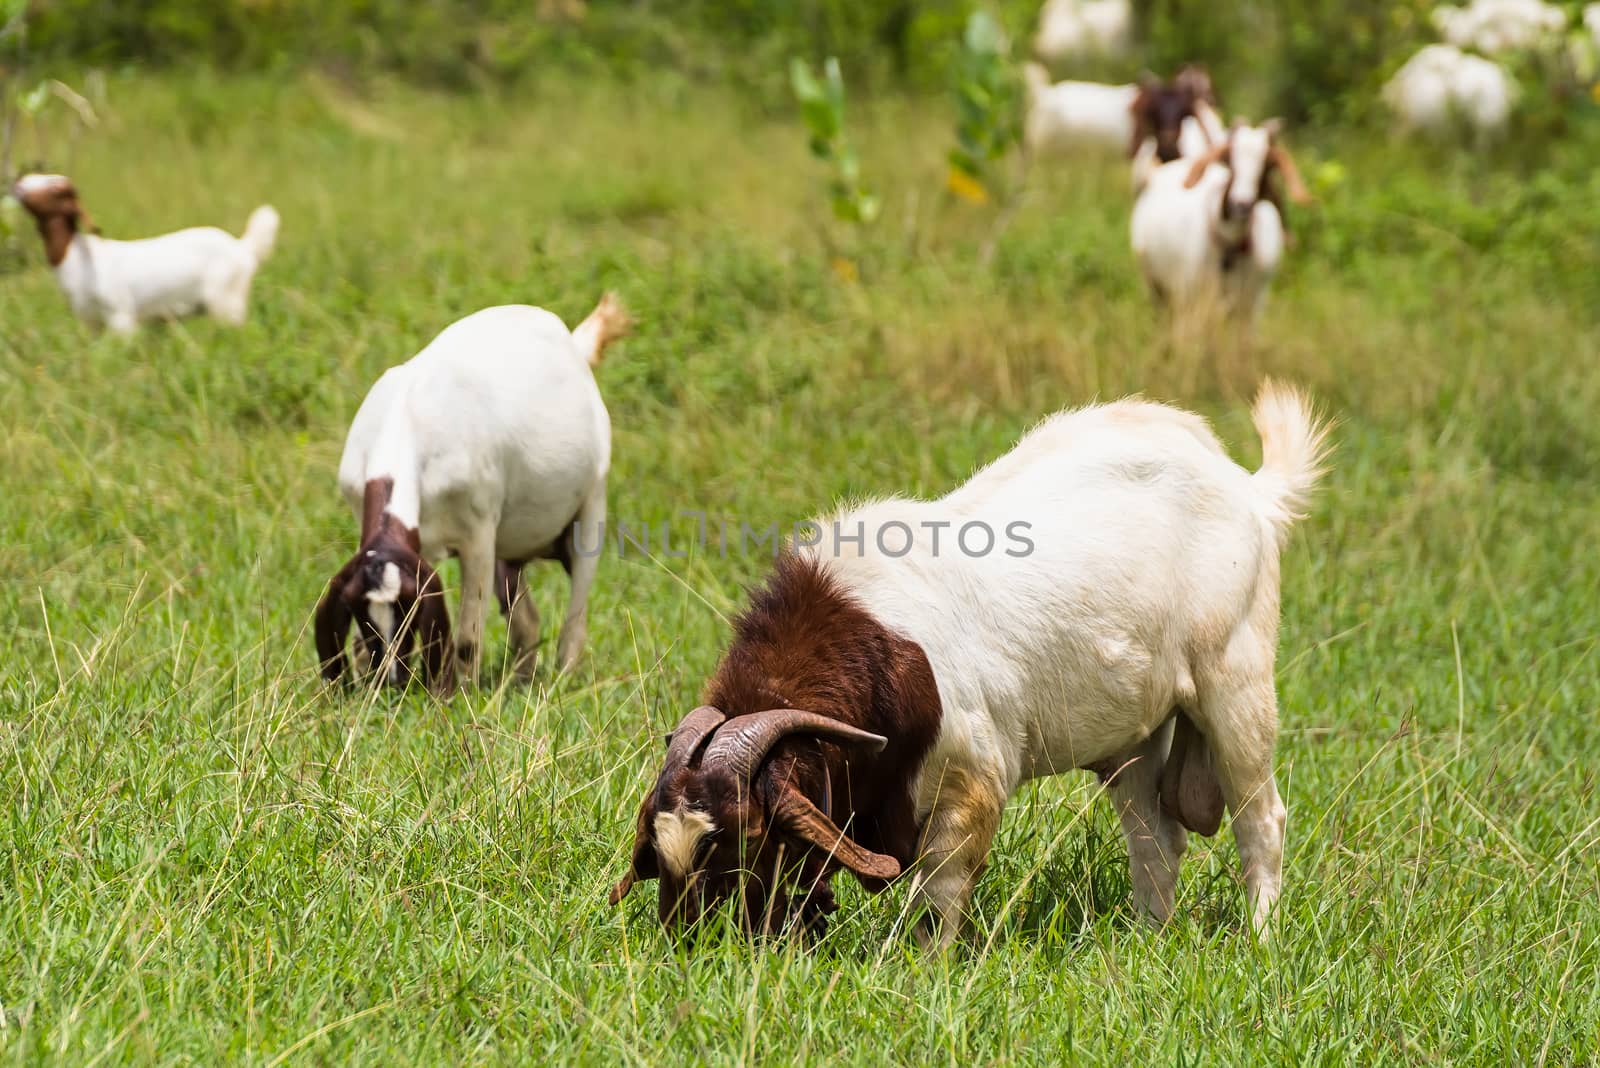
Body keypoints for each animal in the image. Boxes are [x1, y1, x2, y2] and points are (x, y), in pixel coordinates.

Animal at [10, 171, 278, 334]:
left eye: (56, 190)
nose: (19, 183)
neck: (77, 258)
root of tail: (242, 247)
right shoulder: (91, 321)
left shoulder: (121, 316)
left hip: (227, 301)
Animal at [313, 294, 630, 693]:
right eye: (359, 612)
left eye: (410, 610)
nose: (392, 680)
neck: (408, 420)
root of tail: (574, 344)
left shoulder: (477, 539)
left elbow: (466, 641)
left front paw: (460, 694)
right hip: (509, 547)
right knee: (527, 621)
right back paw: (521, 681)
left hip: (591, 506)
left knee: (574, 621)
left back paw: (561, 680)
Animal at [604, 378, 1331, 946]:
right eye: (660, 852)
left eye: (745, 840)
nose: (694, 949)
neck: (869, 648)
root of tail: (1250, 491)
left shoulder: (974, 775)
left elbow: (939, 894)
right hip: (1136, 735)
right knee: (1155, 840)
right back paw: (1148, 940)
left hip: (1235, 682)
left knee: (1261, 819)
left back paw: (1261, 941)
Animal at [1126, 120, 1312, 321]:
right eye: (1230, 162)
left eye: (1265, 167)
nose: (1241, 204)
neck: (1229, 245)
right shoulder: (1191, 296)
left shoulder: (1252, 305)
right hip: (1156, 282)